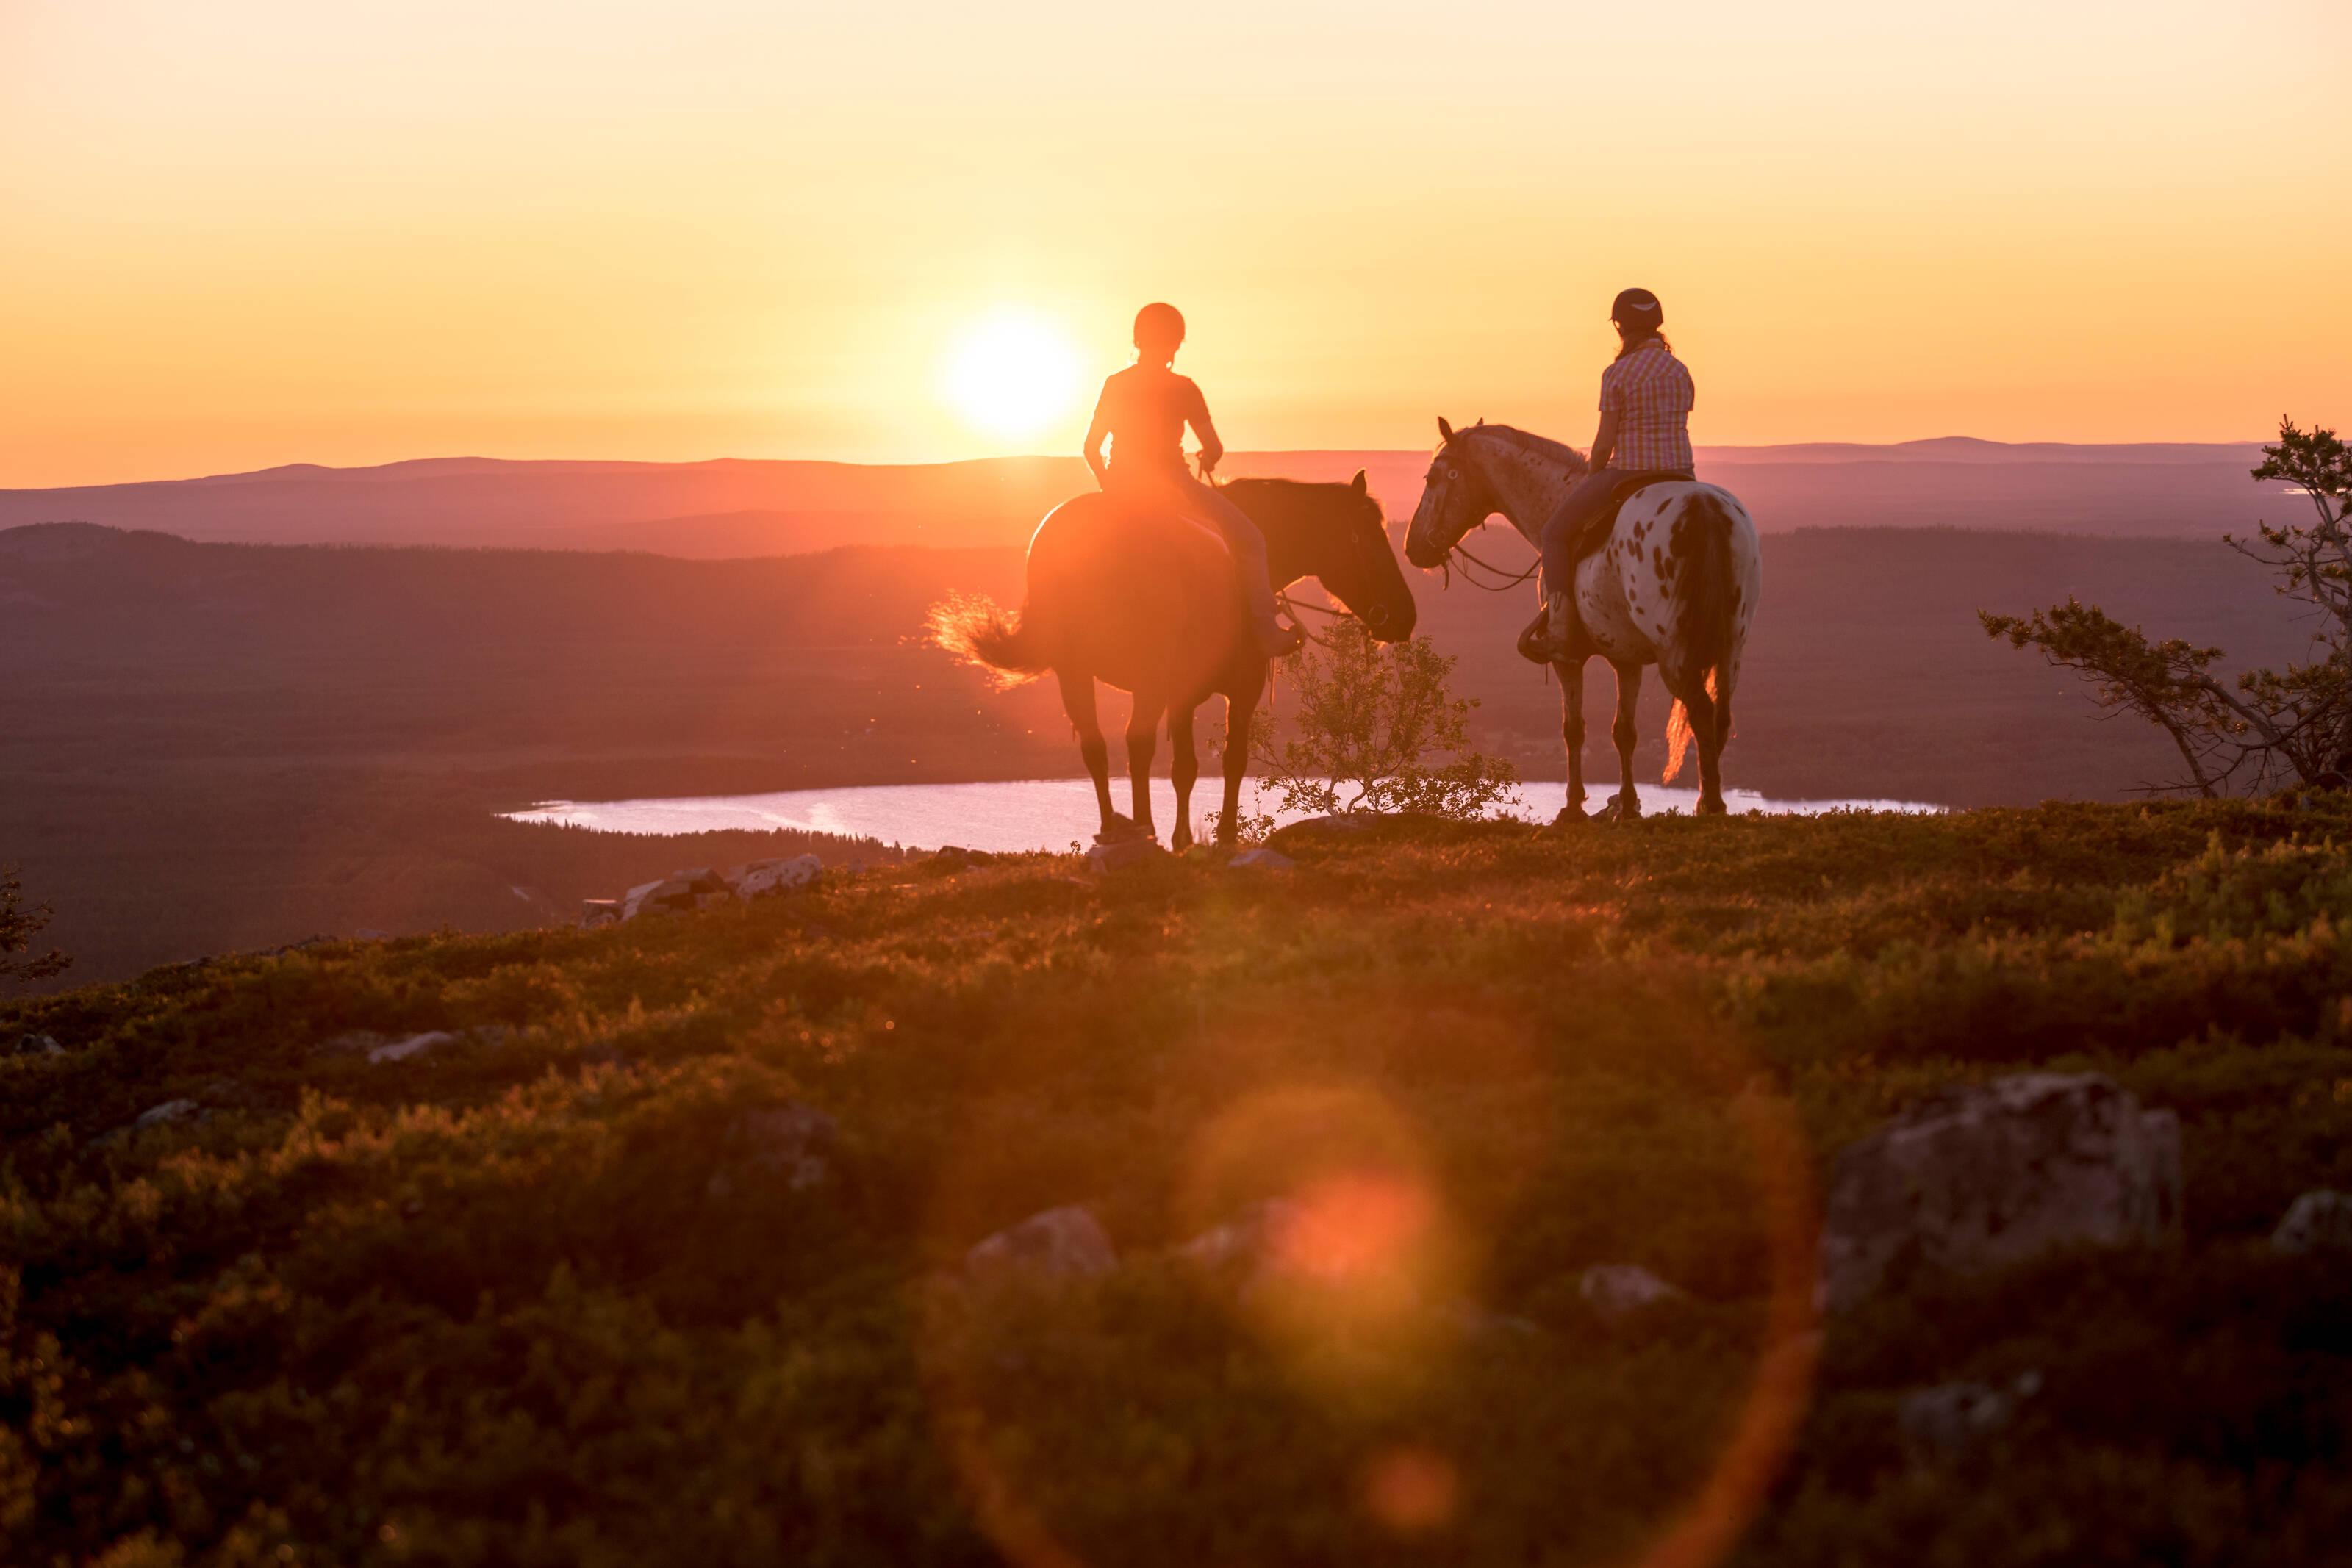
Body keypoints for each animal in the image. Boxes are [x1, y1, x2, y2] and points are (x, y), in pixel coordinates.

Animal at [936, 472, 1411, 851]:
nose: (1404, 614)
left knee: (1098, 747)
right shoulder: (1238, 689)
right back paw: (1141, 827)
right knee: (1137, 743)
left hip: (1076, 673)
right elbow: (1225, 761)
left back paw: (1114, 828)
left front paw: (1183, 836)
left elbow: (1181, 767)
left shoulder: (1180, 695)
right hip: (1146, 675)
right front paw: (1215, 836)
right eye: (1371, 537)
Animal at [1402, 422, 1759, 827]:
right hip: (1731, 648)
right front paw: (1628, 805)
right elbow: (1624, 732)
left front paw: (1573, 806)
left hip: (1676, 655)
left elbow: (1573, 729)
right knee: (1721, 715)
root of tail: (1703, 508)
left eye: (1433, 478)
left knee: (1700, 709)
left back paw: (1709, 804)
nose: (1413, 547)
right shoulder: (1627, 659)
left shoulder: (1566, 659)